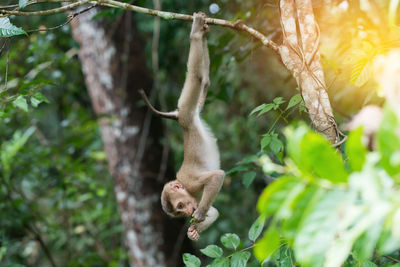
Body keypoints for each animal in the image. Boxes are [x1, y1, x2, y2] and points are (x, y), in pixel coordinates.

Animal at [139, 13, 223, 243]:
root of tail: (178, 118)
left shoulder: (192, 183)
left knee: (196, 77)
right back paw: (202, 33)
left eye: (180, 205)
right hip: (192, 111)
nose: (187, 213)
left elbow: (217, 176)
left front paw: (199, 215)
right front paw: (193, 230)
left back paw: (195, 34)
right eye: (179, 211)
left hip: (185, 110)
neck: (185, 187)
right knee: (204, 83)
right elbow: (215, 212)